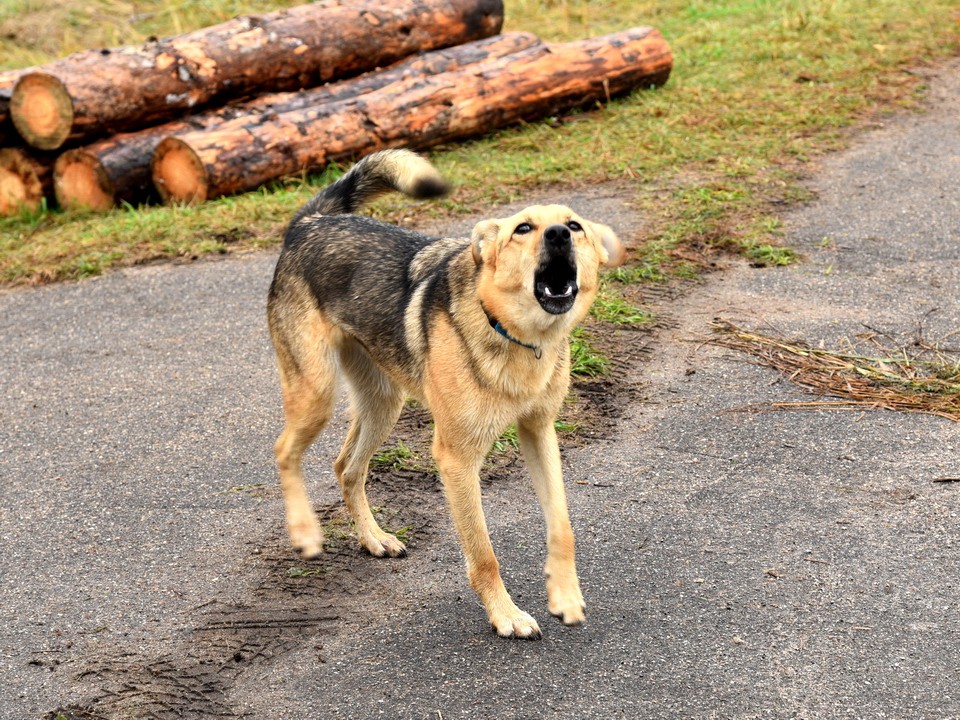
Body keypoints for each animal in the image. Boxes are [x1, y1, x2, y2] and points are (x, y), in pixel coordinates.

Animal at [266, 149, 628, 640]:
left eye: (574, 225)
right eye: (523, 229)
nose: (557, 235)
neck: (514, 335)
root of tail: (310, 222)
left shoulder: (539, 433)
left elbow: (562, 526)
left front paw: (565, 597)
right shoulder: (457, 458)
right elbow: (484, 554)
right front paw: (506, 615)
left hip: (384, 403)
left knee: (346, 467)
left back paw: (373, 538)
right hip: (316, 393)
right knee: (286, 450)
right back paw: (305, 534)